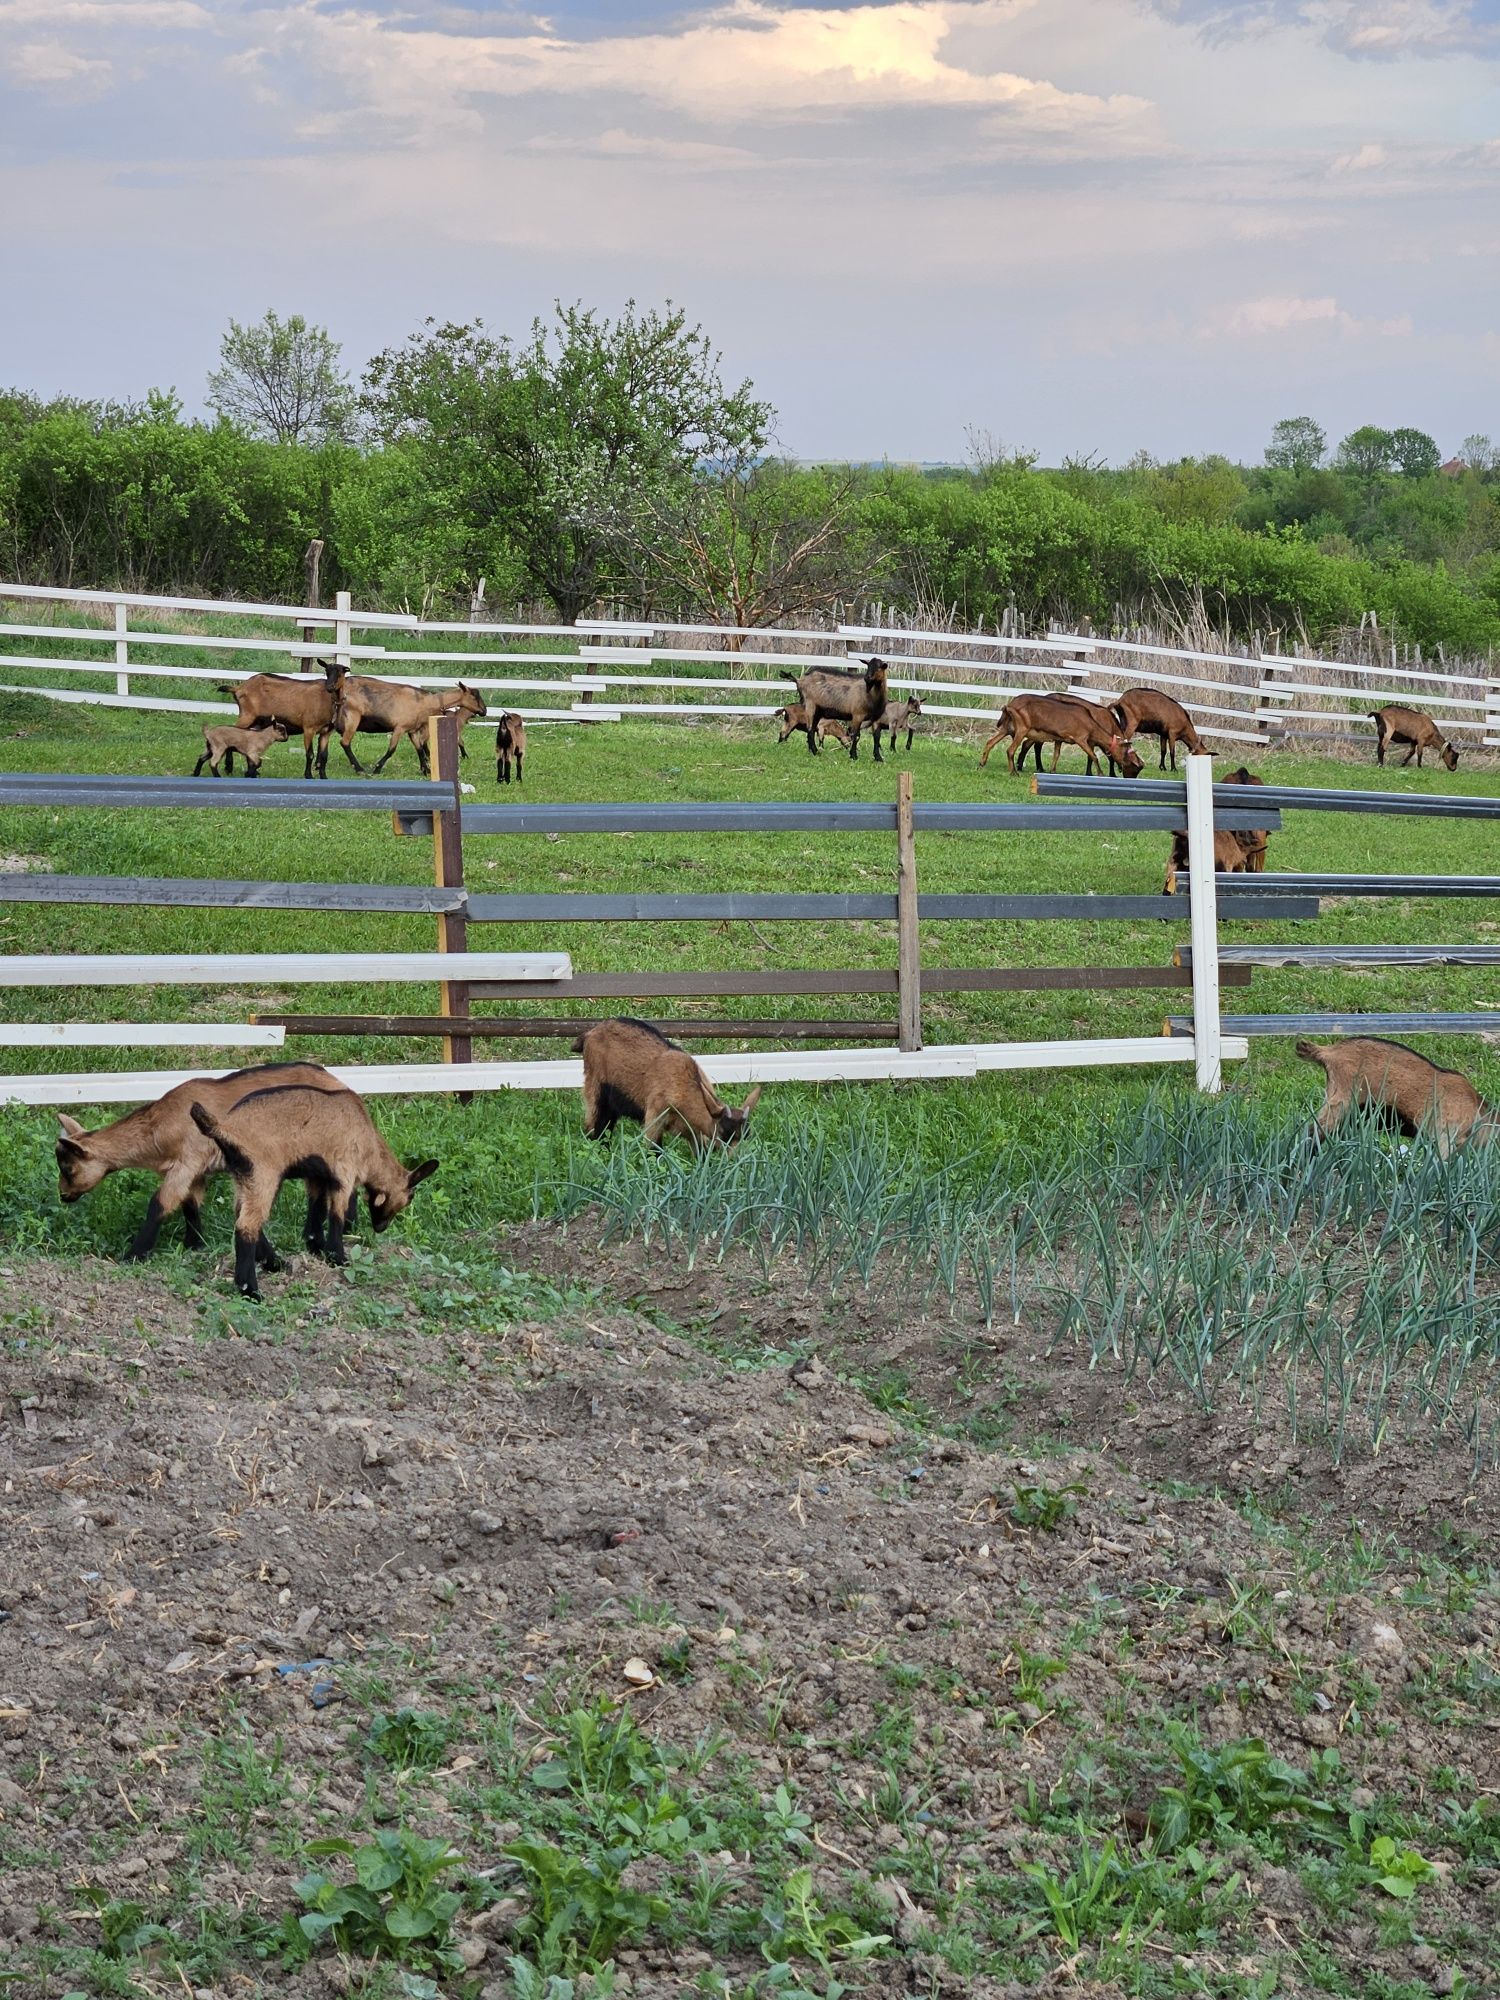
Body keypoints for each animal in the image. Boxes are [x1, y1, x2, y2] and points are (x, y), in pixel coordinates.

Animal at [53, 1056, 344, 1256]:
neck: (159, 1127)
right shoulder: (196, 1170)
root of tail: (337, 1082)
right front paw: (194, 1245)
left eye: (68, 1168)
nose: (64, 1196)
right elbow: (190, 1205)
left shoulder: (187, 1162)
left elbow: (160, 1203)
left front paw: (133, 1254)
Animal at [187, 1088, 434, 1304]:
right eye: (409, 1198)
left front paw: (316, 1245)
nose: (381, 1228)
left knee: (243, 1215)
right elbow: (337, 1214)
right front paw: (337, 1257)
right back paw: (251, 1290)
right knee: (246, 1226)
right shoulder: (344, 1171)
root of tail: (224, 1126)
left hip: (244, 1178)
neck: (369, 1144)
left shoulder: (318, 1176)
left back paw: (275, 1263)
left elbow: (318, 1206)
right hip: (263, 1173)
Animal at [334, 688, 488, 780]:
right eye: (474, 696)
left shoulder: (412, 731)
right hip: (352, 720)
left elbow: (419, 749)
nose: (485, 711)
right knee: (345, 743)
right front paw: (377, 768)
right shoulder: (399, 728)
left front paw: (426, 770)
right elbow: (391, 750)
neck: (425, 702)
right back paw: (359, 769)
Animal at [576, 1024, 764, 1152]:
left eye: (747, 1134)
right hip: (595, 1088)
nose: (734, 1160)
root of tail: (590, 1034)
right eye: (725, 1132)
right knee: (594, 1125)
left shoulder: (691, 1130)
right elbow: (654, 1152)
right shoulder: (654, 1117)